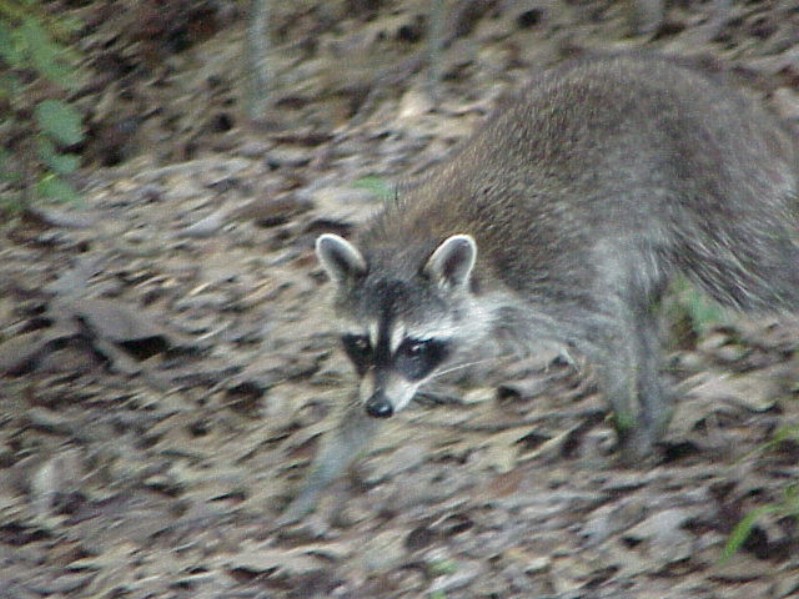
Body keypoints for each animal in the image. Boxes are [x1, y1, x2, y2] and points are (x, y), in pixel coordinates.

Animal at [314, 52, 799, 464]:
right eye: (361, 345)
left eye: (414, 346)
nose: (379, 408)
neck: (415, 240)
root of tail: (742, 109)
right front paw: (334, 456)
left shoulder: (555, 266)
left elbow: (606, 332)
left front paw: (626, 420)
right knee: (641, 312)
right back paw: (658, 406)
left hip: (714, 195)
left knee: (754, 270)